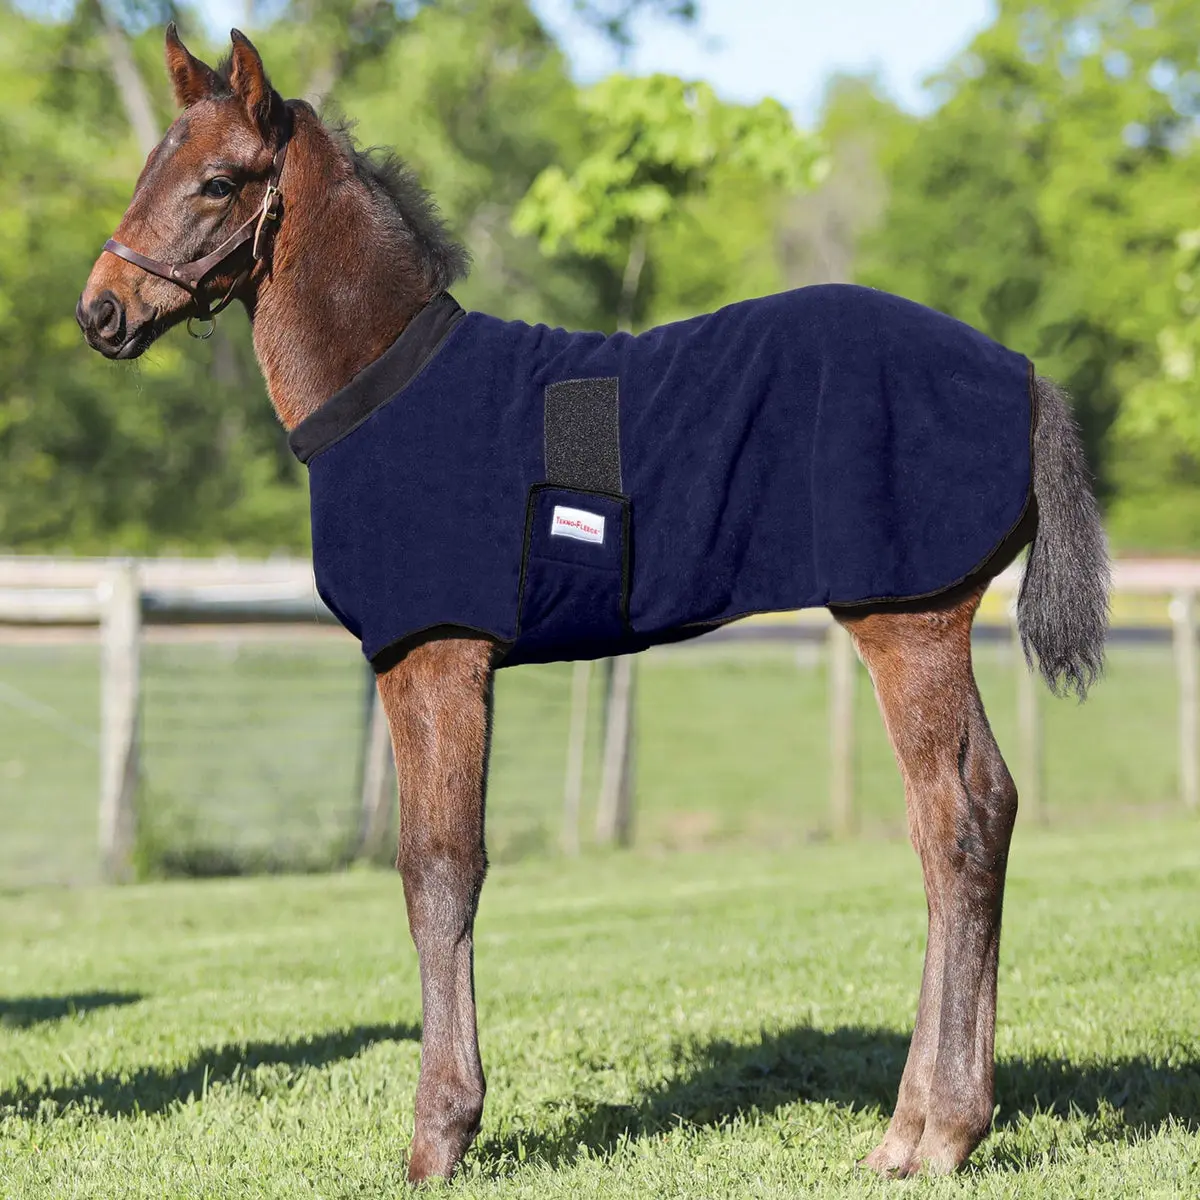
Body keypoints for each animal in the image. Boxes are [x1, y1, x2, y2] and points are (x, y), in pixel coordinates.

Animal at [77, 26, 1109, 1182]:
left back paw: (933, 1131)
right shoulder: (418, 660)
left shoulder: (436, 653)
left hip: (907, 619)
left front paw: (441, 1135)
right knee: (982, 809)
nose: (100, 312)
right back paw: (932, 1123)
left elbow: (439, 869)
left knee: (958, 819)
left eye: (218, 181)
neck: (388, 386)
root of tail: (1023, 376)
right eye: (149, 168)